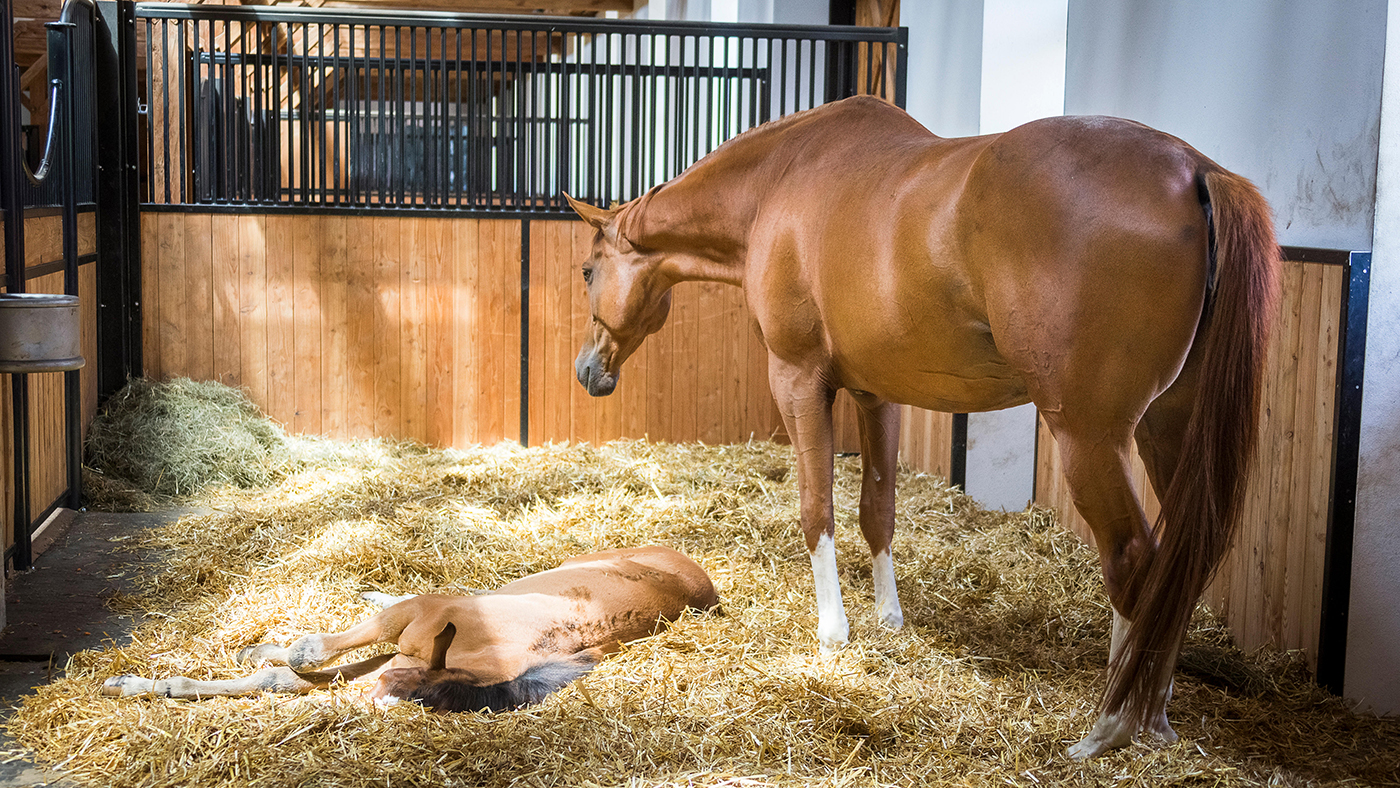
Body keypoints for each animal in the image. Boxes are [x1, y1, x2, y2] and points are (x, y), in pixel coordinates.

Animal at [102, 545, 719, 711]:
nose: (374, 705)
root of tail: (702, 586)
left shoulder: (402, 648)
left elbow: (290, 678)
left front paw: (137, 686)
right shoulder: (410, 627)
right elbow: (307, 661)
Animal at [565, 95, 1279, 758]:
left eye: (588, 270)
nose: (586, 370)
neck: (778, 183)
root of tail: (1195, 170)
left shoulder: (798, 380)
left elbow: (817, 508)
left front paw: (833, 635)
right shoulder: (877, 394)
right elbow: (877, 511)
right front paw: (889, 620)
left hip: (1091, 436)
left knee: (1134, 560)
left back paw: (1110, 726)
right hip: (1168, 430)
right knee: (1184, 561)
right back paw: (1154, 717)